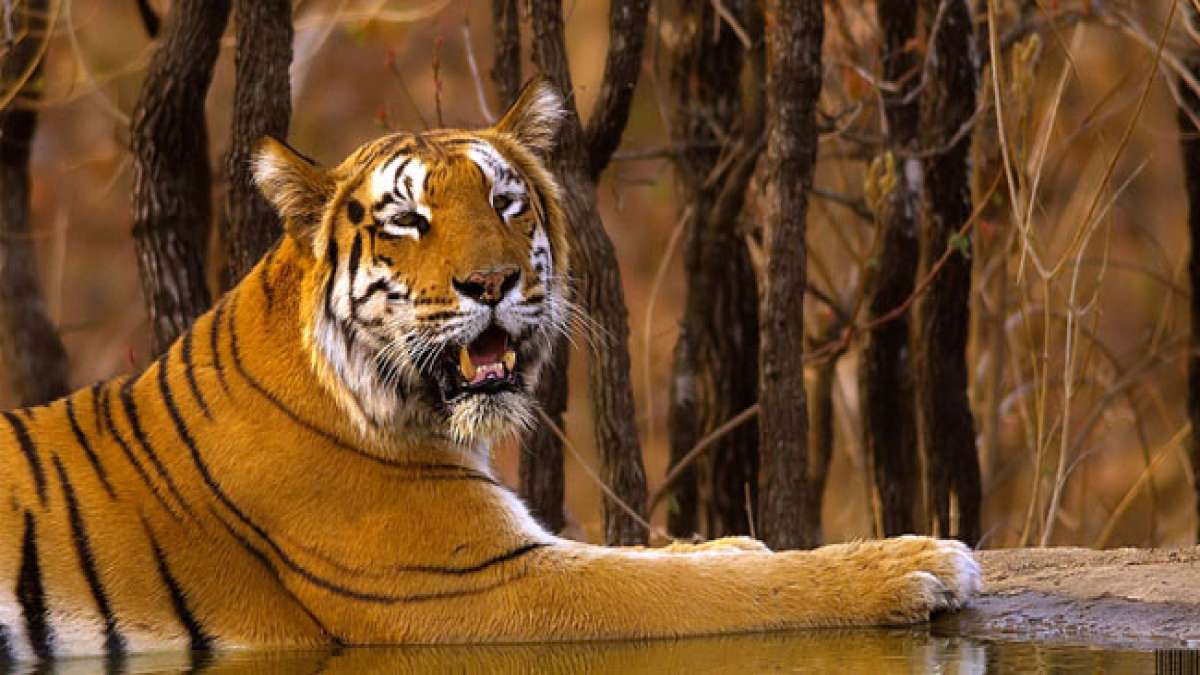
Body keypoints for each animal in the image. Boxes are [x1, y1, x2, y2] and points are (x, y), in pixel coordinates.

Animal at [0, 78, 980, 664]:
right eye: (407, 220)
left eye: (506, 202)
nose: (493, 282)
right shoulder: (480, 582)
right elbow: (706, 589)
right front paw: (915, 562)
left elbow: (674, 555)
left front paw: (734, 541)